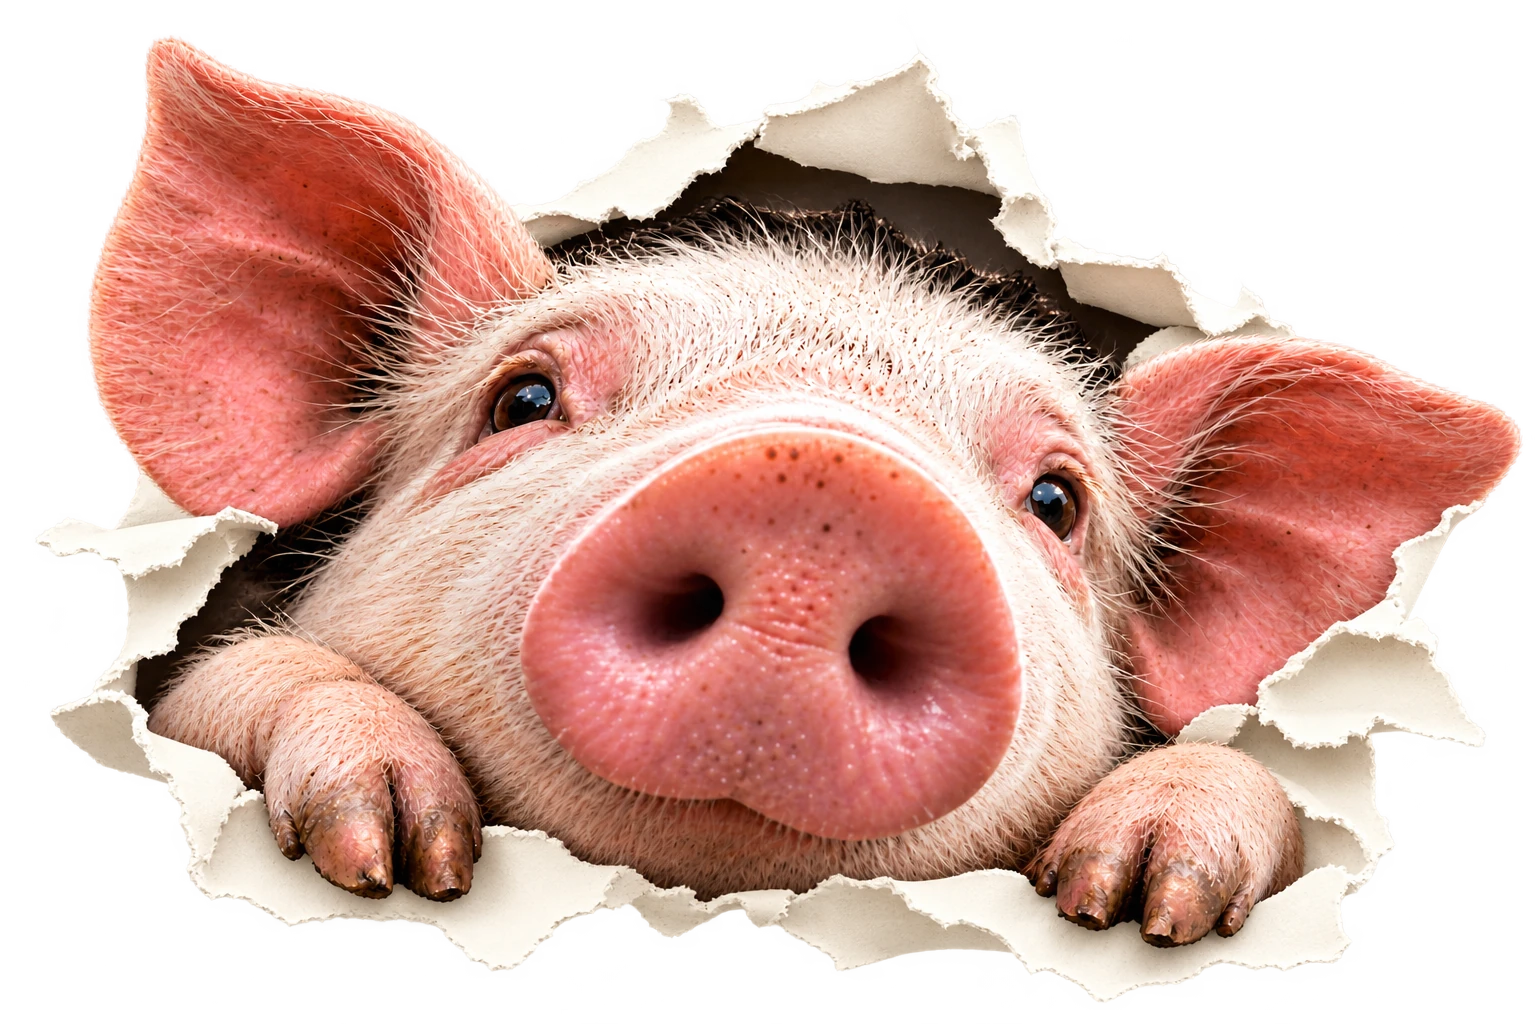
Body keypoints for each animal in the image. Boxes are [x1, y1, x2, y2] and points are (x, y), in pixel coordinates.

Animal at [91, 42, 1519, 948]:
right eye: (524, 398)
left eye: (1056, 500)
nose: (821, 481)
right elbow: (229, 680)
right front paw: (390, 851)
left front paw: (1139, 902)